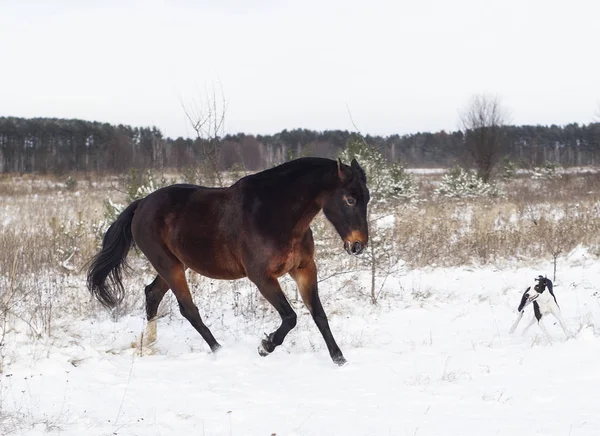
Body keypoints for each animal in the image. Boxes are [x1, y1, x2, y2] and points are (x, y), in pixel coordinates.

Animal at [88, 157, 370, 364]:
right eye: (350, 199)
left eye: (366, 198)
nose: (358, 245)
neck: (276, 214)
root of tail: (141, 204)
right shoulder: (262, 277)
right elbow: (290, 317)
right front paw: (265, 346)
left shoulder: (304, 269)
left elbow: (319, 314)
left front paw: (339, 358)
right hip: (169, 266)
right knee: (187, 309)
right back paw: (219, 350)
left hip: (176, 264)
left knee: (152, 294)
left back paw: (150, 344)